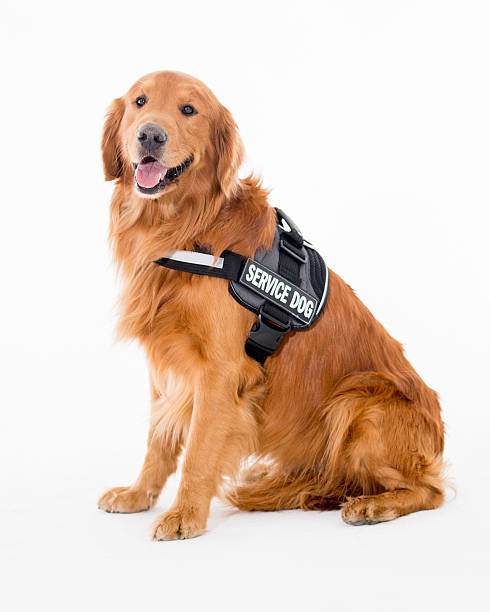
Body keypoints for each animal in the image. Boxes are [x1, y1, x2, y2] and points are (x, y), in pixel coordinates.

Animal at [97, 71, 446, 540]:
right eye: (140, 101)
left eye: (189, 110)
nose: (150, 134)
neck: (187, 228)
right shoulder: (166, 362)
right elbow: (159, 439)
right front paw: (138, 495)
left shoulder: (220, 371)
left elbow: (198, 450)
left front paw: (184, 515)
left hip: (358, 402)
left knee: (430, 490)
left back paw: (373, 505)